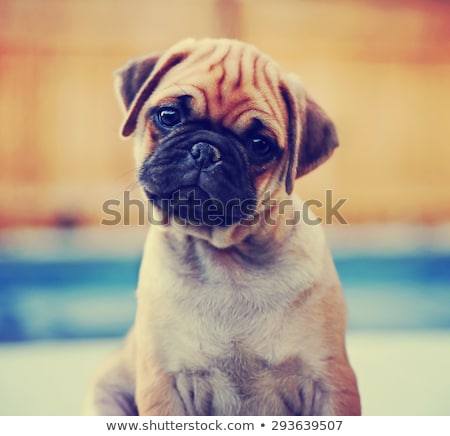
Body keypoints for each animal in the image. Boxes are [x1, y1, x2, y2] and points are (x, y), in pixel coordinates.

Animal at [82, 37, 360, 416]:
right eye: (168, 116)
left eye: (260, 145)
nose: (205, 149)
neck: (228, 257)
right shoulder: (164, 385)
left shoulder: (330, 382)